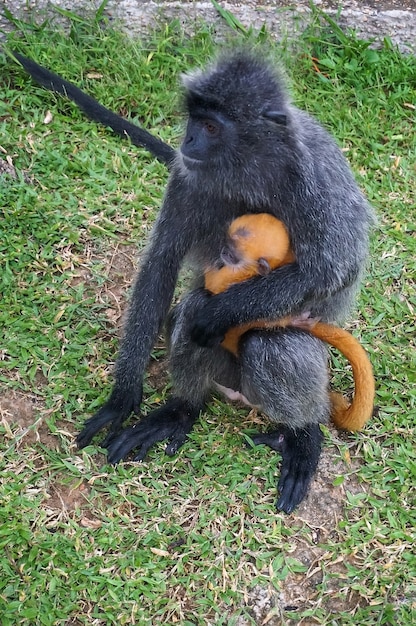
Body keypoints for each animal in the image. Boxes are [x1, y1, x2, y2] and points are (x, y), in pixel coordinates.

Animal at [206, 213, 376, 428]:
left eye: (231, 253)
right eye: (226, 243)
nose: (222, 252)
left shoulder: (235, 273)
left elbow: (213, 283)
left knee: (252, 344)